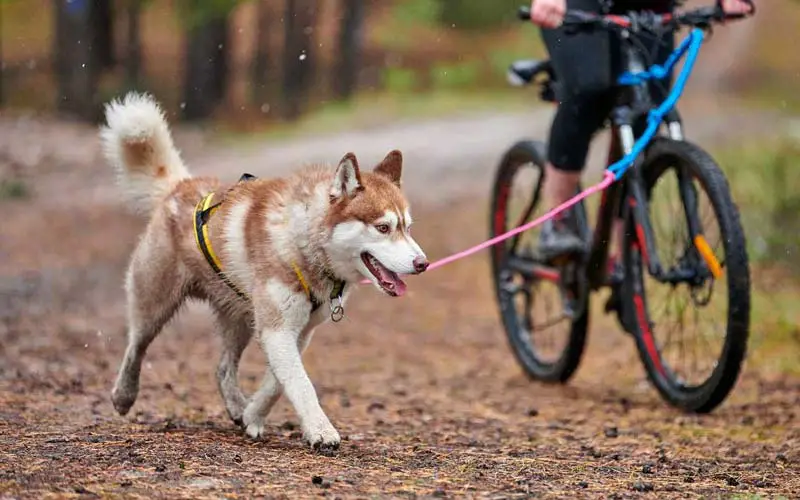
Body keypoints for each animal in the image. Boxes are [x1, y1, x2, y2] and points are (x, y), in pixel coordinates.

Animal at [101, 92, 432, 452]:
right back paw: (123, 394)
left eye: (407, 227)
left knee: (222, 369)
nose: (422, 263)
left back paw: (236, 406)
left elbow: (277, 383)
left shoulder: (298, 332)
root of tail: (181, 185)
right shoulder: (277, 329)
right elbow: (301, 383)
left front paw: (253, 415)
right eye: (383, 227)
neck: (304, 244)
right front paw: (321, 430)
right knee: (136, 345)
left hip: (240, 320)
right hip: (154, 303)